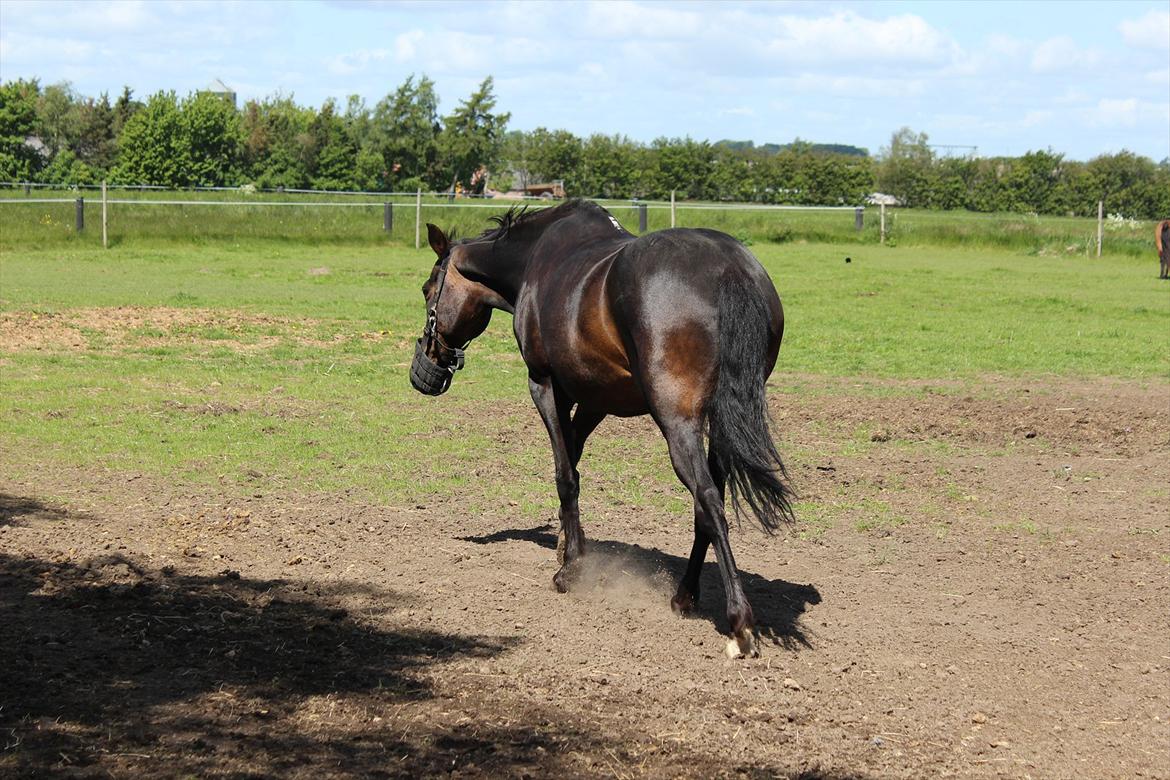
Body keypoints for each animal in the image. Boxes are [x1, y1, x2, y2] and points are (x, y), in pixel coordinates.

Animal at [411, 198, 795, 654]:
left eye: (428, 290)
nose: (426, 365)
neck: (534, 259)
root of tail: (728, 267)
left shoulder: (545, 384)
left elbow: (565, 473)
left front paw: (570, 568)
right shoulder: (597, 398)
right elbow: (573, 462)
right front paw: (567, 544)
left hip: (678, 422)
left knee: (707, 499)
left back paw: (739, 621)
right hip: (721, 423)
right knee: (707, 504)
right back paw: (684, 596)